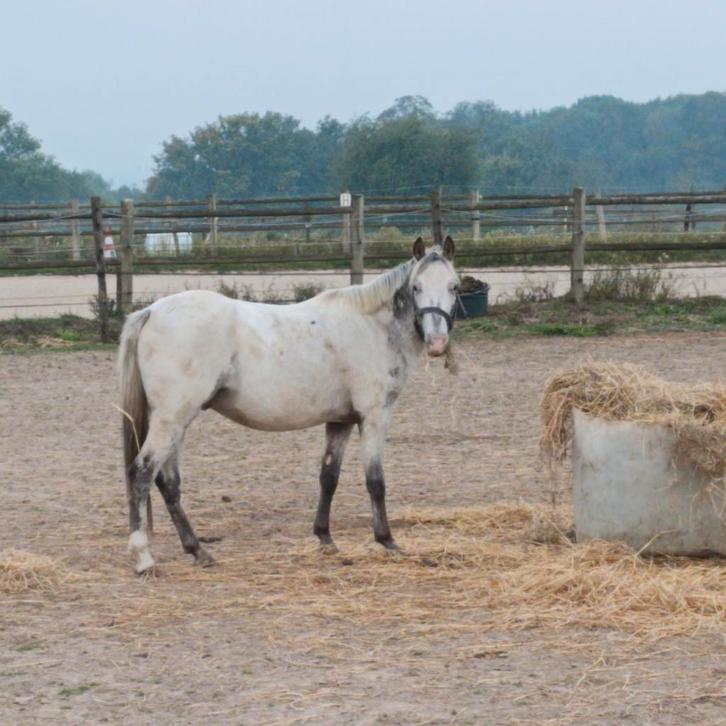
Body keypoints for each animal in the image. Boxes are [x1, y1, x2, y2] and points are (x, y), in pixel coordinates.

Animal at [119, 236, 459, 573]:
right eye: (416, 287)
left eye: (454, 286)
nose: (437, 343)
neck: (371, 327)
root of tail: (151, 311)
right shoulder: (374, 416)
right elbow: (375, 481)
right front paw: (386, 540)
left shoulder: (341, 421)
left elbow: (328, 477)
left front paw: (325, 537)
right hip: (172, 419)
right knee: (141, 472)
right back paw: (143, 557)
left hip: (175, 422)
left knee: (168, 482)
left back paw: (197, 550)